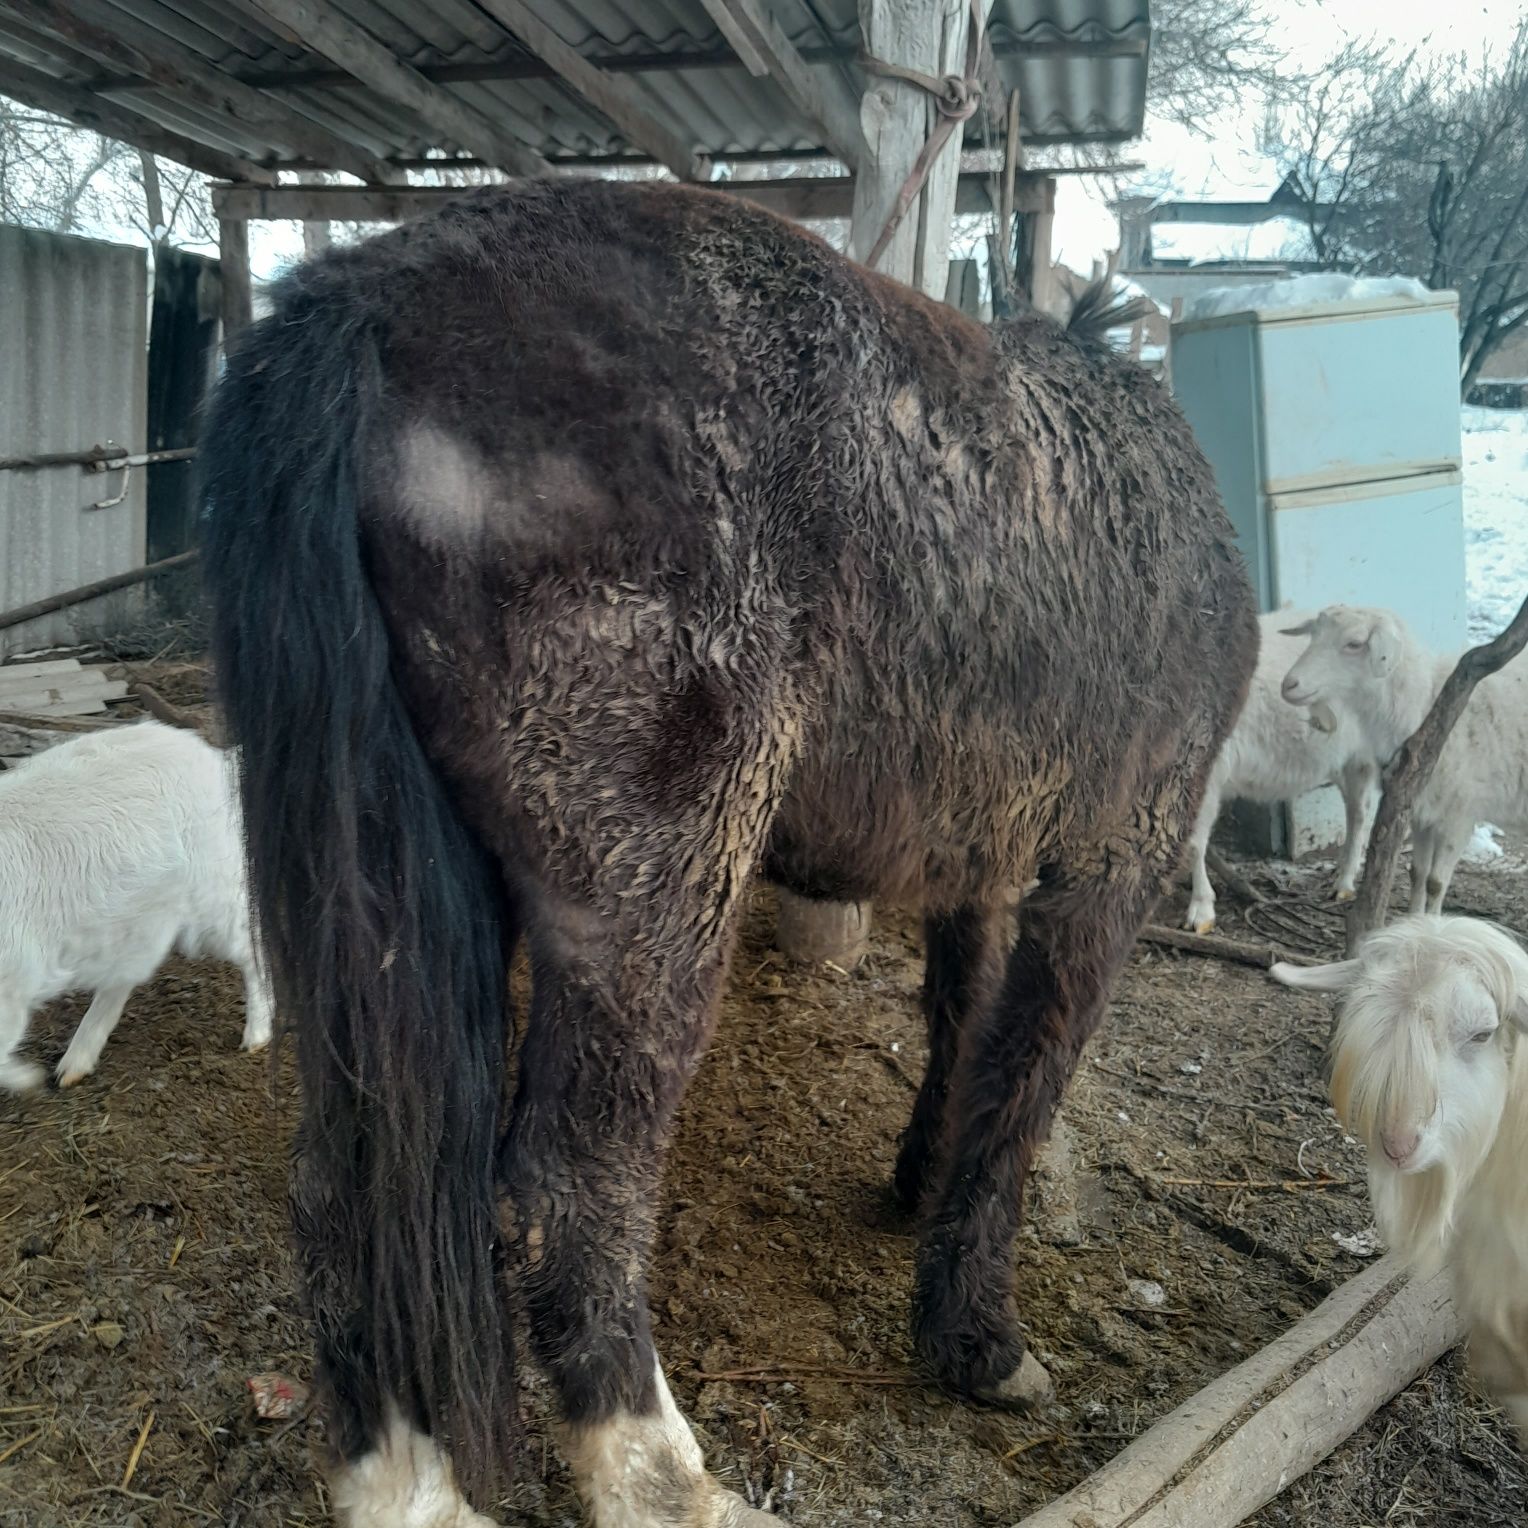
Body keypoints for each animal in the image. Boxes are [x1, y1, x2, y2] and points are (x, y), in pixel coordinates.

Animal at [0, 721, 271, 1094]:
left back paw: (257, 1035)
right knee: (124, 973)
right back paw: (76, 1062)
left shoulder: (11, 980)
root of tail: (215, 758)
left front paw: (28, 1079)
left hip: (212, 897)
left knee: (250, 947)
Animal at [200, 181, 1252, 1528]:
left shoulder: (977, 861)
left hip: (384, 900)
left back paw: (403, 1484)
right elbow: (1025, 1076)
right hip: (651, 900)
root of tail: (372, 297)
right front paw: (976, 1336)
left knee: (352, 1182)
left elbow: (965, 1025)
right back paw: (661, 1477)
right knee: (567, 1191)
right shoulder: (1110, 862)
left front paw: (920, 1186)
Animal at [1179, 608, 1387, 929]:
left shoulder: (1207, 770)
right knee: (1355, 808)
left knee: (1360, 812)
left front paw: (1201, 910)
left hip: (1362, 754)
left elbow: (1194, 842)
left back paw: (1344, 882)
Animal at [1277, 605, 1528, 916]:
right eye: (1313, 634)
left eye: (1354, 644)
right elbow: (1417, 874)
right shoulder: (1422, 809)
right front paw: (1413, 921)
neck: (1424, 707)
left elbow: (1435, 883)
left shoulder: (1460, 814)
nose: (1289, 685)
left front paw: (1433, 924)